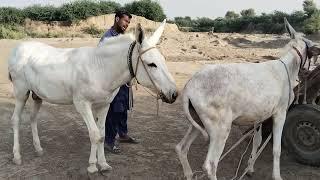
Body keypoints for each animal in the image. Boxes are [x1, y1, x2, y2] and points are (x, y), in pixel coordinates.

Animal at [8, 19, 178, 173]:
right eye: (151, 64)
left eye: (163, 60)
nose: (174, 94)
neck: (99, 69)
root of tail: (18, 48)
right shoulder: (82, 105)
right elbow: (95, 134)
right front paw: (92, 166)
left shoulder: (104, 105)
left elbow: (102, 135)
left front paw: (103, 164)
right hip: (21, 93)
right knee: (15, 120)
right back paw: (17, 155)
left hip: (37, 95)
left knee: (33, 118)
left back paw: (38, 149)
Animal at [176, 18, 320, 180]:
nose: (306, 71)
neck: (287, 68)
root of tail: (189, 87)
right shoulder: (281, 113)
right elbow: (276, 149)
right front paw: (276, 175)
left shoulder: (260, 116)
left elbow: (257, 142)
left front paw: (250, 168)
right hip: (220, 128)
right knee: (210, 165)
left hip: (196, 122)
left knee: (181, 148)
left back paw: (189, 173)